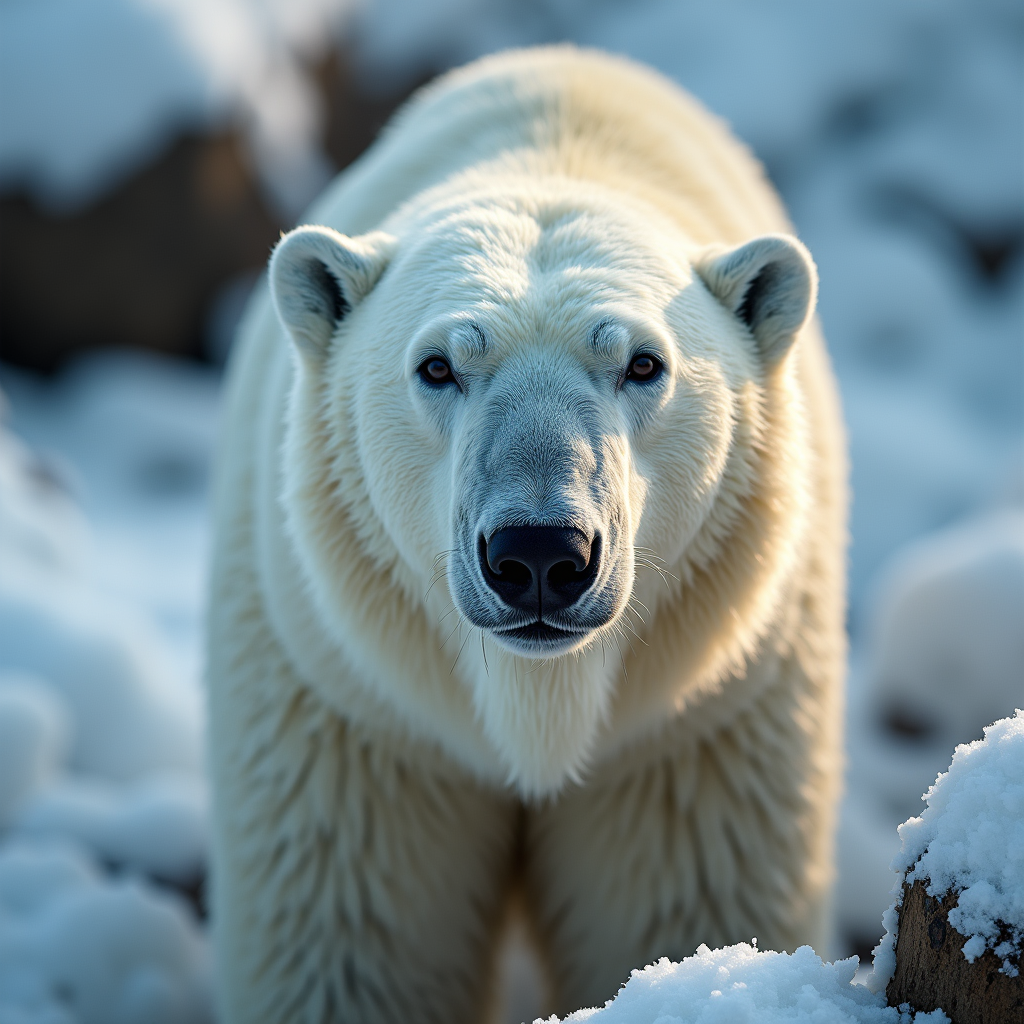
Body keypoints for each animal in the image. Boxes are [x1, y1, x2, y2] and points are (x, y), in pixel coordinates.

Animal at [206, 45, 848, 1024]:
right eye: (438, 365)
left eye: (643, 363)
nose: (542, 554)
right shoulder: (356, 714)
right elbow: (353, 946)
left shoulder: (692, 731)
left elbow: (678, 907)